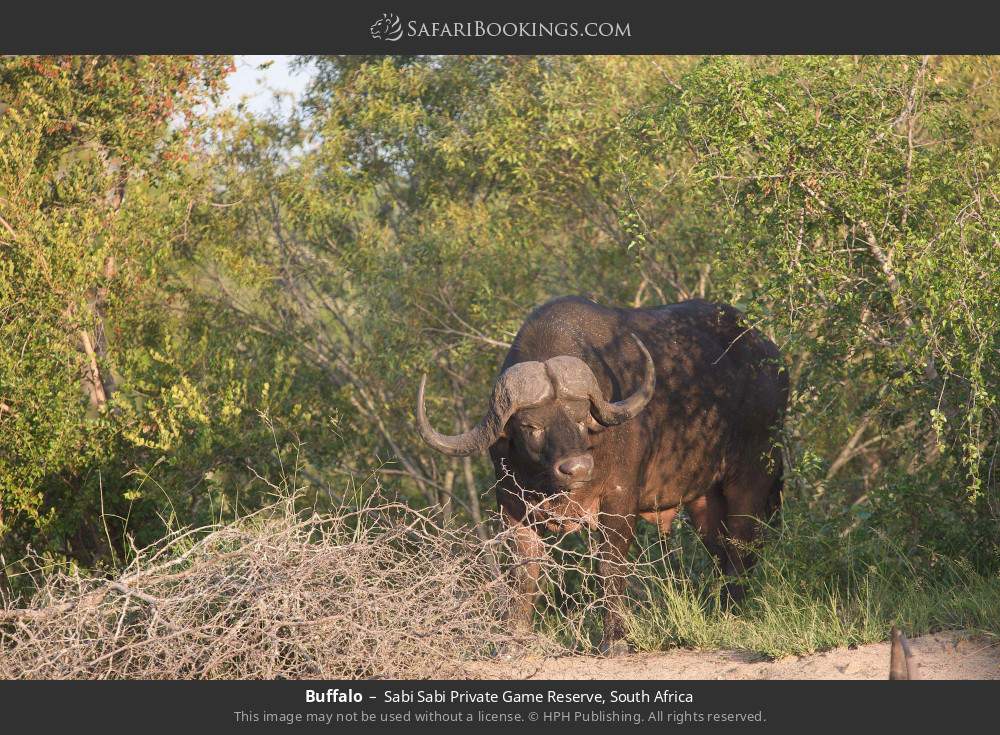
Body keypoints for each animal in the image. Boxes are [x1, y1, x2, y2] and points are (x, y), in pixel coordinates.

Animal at [417, 296, 788, 654]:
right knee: (721, 548)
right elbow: (524, 574)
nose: (577, 467)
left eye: (581, 417)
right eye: (531, 426)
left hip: (752, 477)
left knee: (742, 544)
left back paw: (733, 613)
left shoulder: (619, 499)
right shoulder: (511, 506)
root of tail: (769, 356)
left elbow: (611, 565)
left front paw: (615, 639)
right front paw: (513, 642)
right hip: (704, 500)